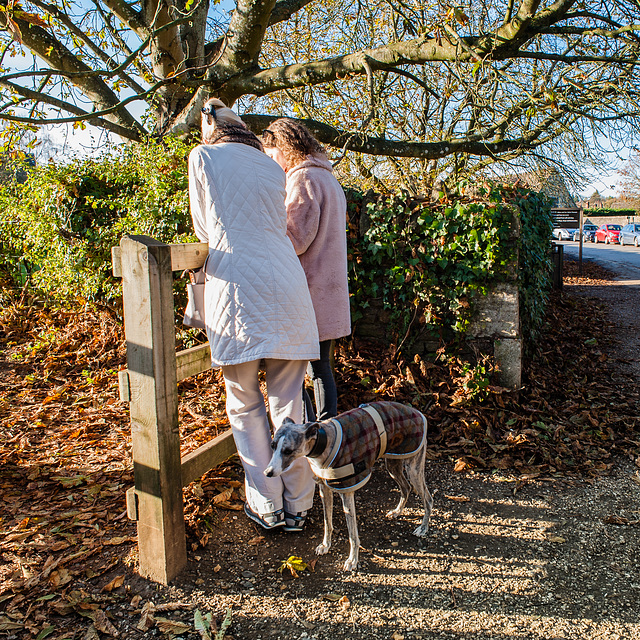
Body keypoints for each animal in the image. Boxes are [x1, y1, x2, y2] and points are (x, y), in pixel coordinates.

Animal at [262, 400, 432, 568]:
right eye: (272, 445)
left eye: (288, 451)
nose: (267, 473)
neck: (324, 441)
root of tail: (418, 412)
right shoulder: (324, 489)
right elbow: (327, 522)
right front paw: (325, 545)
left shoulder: (346, 491)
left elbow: (352, 534)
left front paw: (352, 560)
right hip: (393, 463)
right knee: (406, 487)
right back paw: (397, 511)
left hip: (413, 469)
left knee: (428, 498)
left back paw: (423, 528)